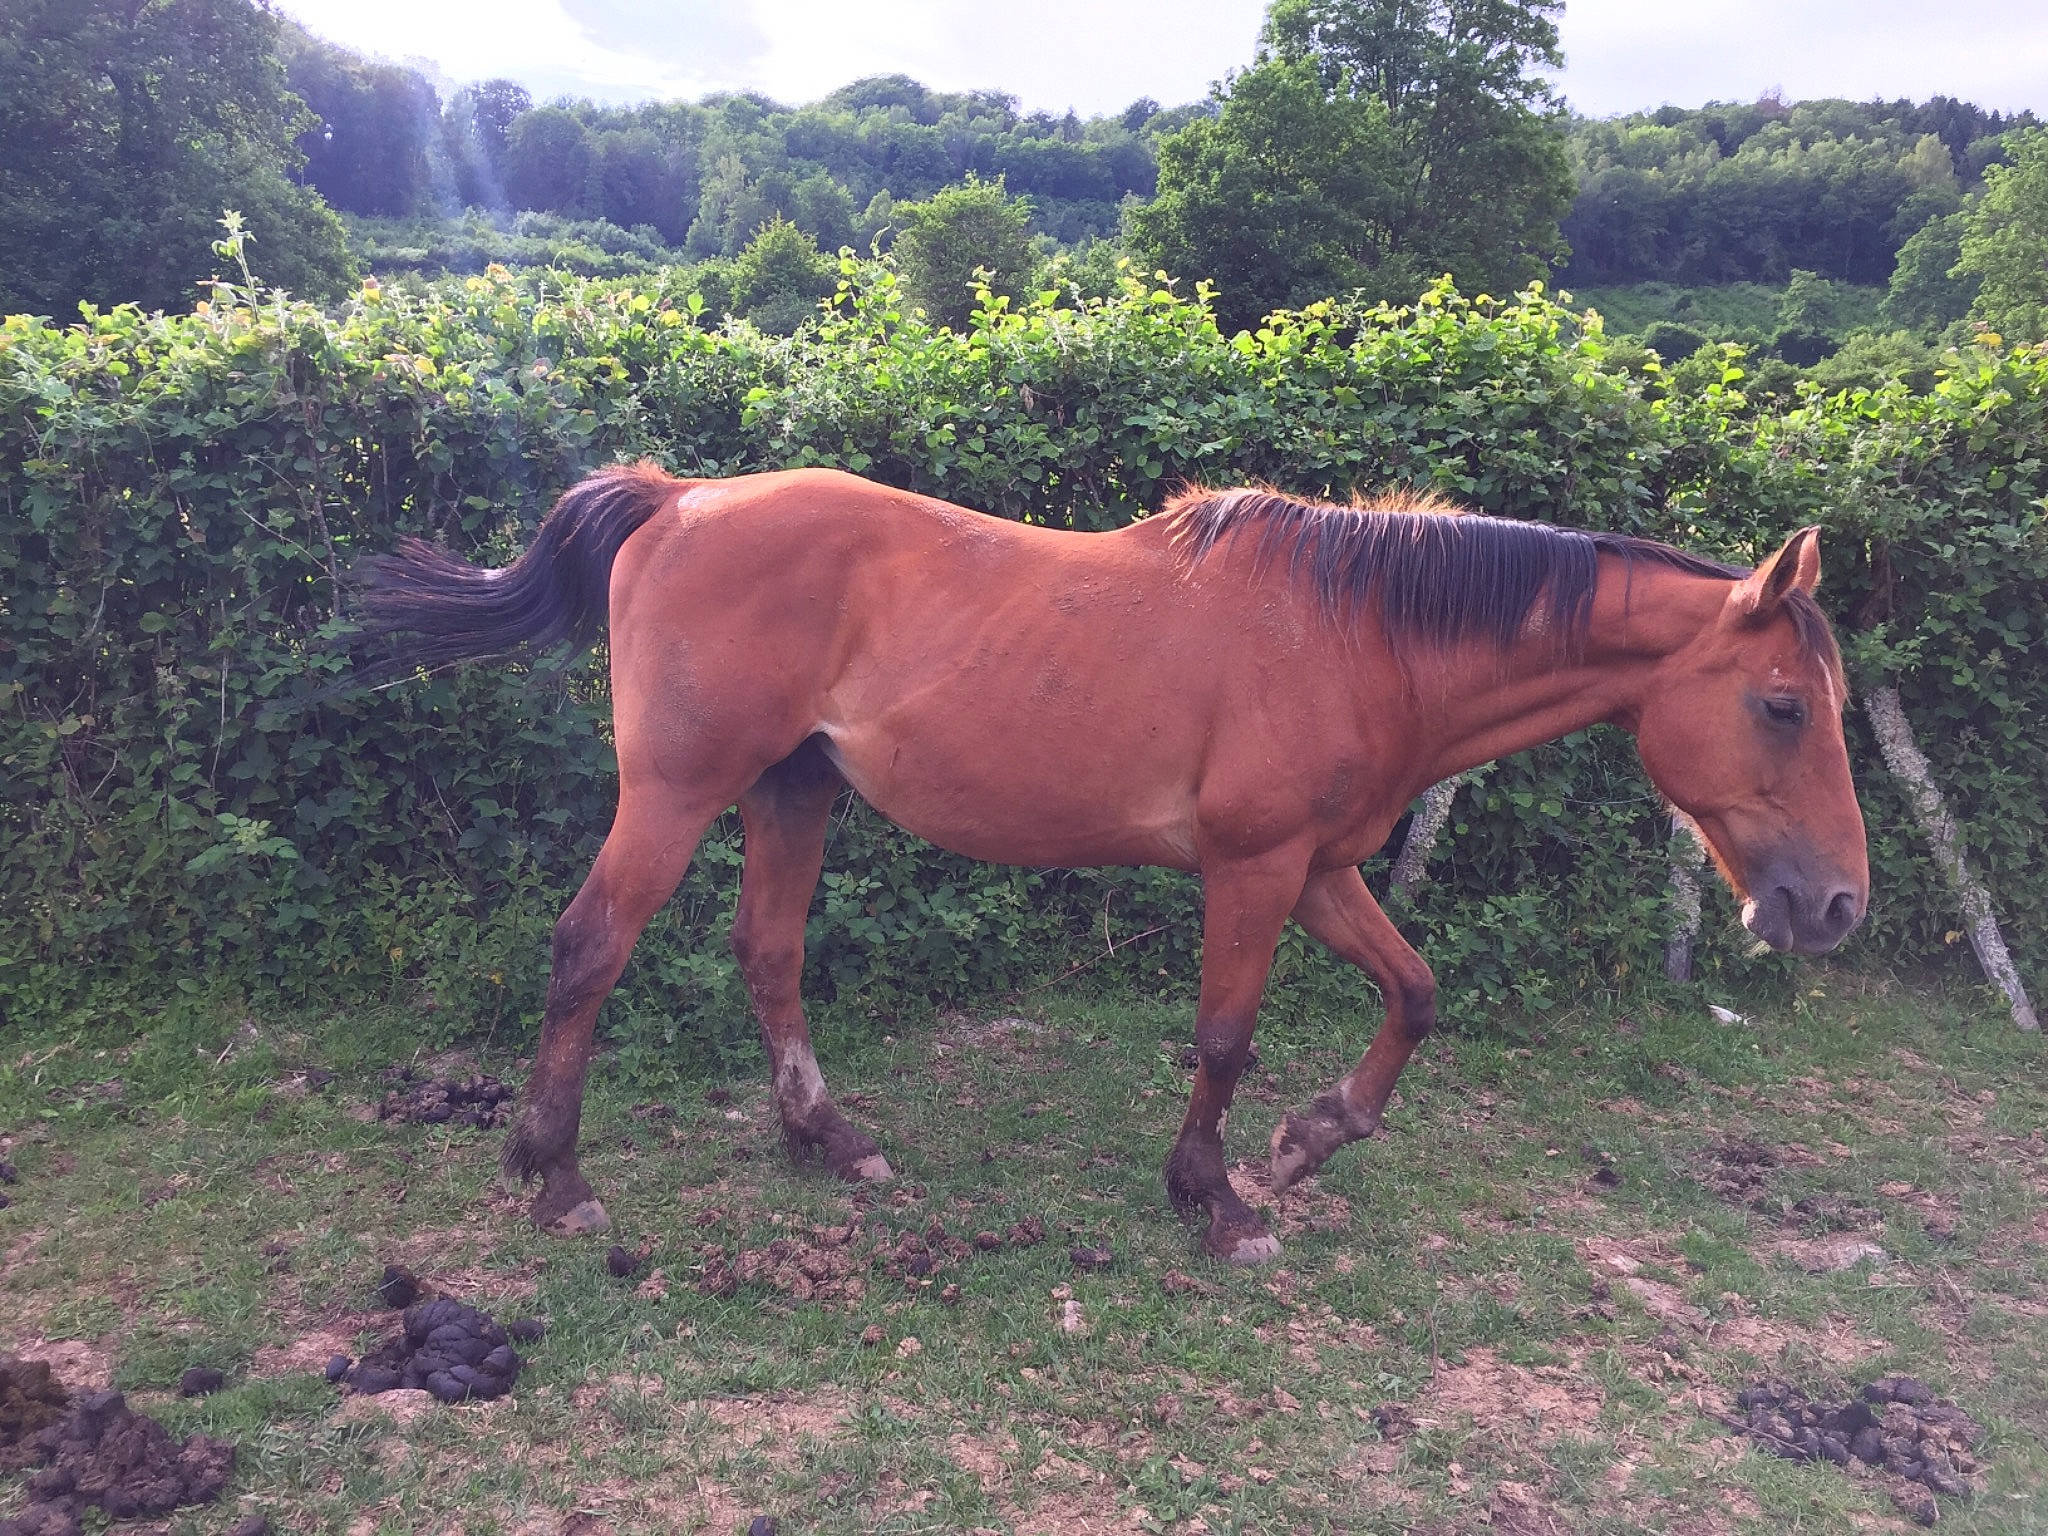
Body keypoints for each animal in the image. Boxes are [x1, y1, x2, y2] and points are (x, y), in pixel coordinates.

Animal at [356, 463, 1867, 1265]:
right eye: (1782, 705)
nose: (1834, 905)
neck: (1357, 633)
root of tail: (679, 501)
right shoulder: (1253, 871)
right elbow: (1223, 1036)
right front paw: (1216, 1200)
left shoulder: (1321, 870)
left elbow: (1415, 993)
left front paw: (1311, 1140)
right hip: (677, 795)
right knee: (590, 948)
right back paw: (555, 1176)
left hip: (791, 792)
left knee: (767, 955)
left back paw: (826, 1139)